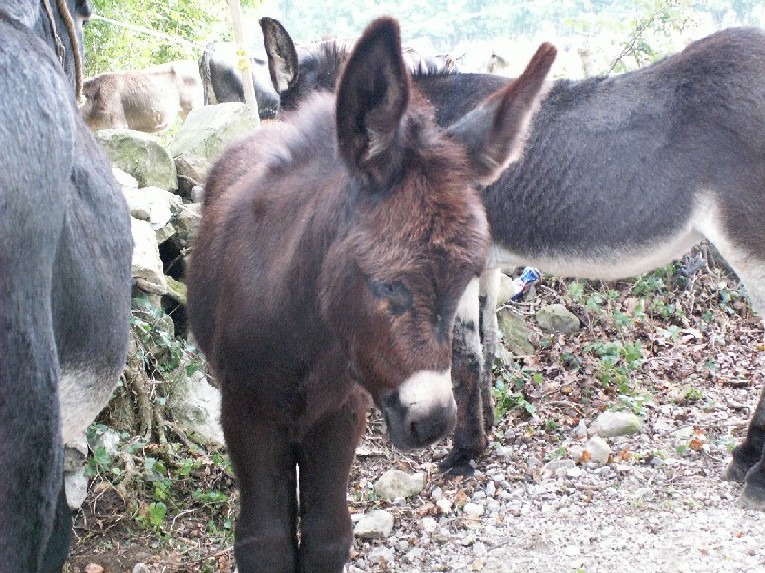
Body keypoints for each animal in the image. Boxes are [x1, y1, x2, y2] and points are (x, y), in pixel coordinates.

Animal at [186, 15, 556, 568]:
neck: (302, 337)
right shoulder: (246, 413)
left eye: (462, 276)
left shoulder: (342, 411)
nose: (434, 422)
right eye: (384, 282)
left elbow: (328, 533)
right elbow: (264, 540)